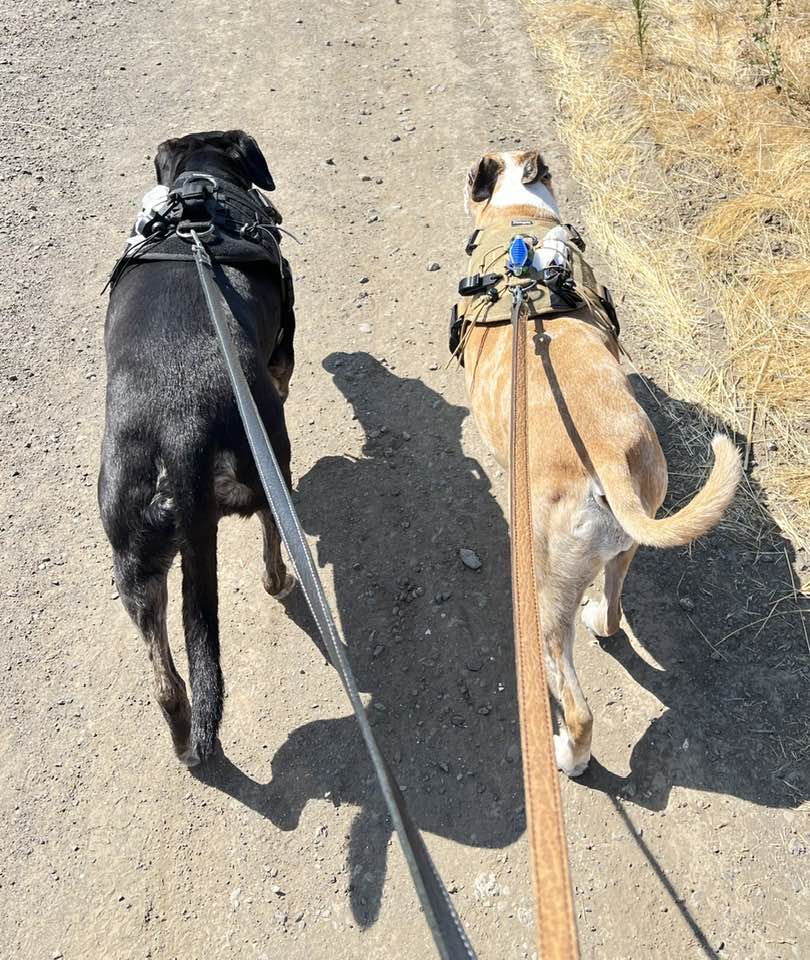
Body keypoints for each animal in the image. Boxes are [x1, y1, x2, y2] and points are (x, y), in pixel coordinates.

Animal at [98, 130, 296, 767]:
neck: (199, 192)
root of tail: (180, 423)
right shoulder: (283, 355)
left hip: (134, 564)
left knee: (166, 682)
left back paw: (185, 734)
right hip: (269, 459)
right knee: (271, 546)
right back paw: (283, 580)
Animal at [460, 150, 742, 777]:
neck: (519, 220)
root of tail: (607, 457)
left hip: (544, 598)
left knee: (577, 706)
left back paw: (571, 755)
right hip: (626, 545)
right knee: (612, 615)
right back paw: (599, 619)